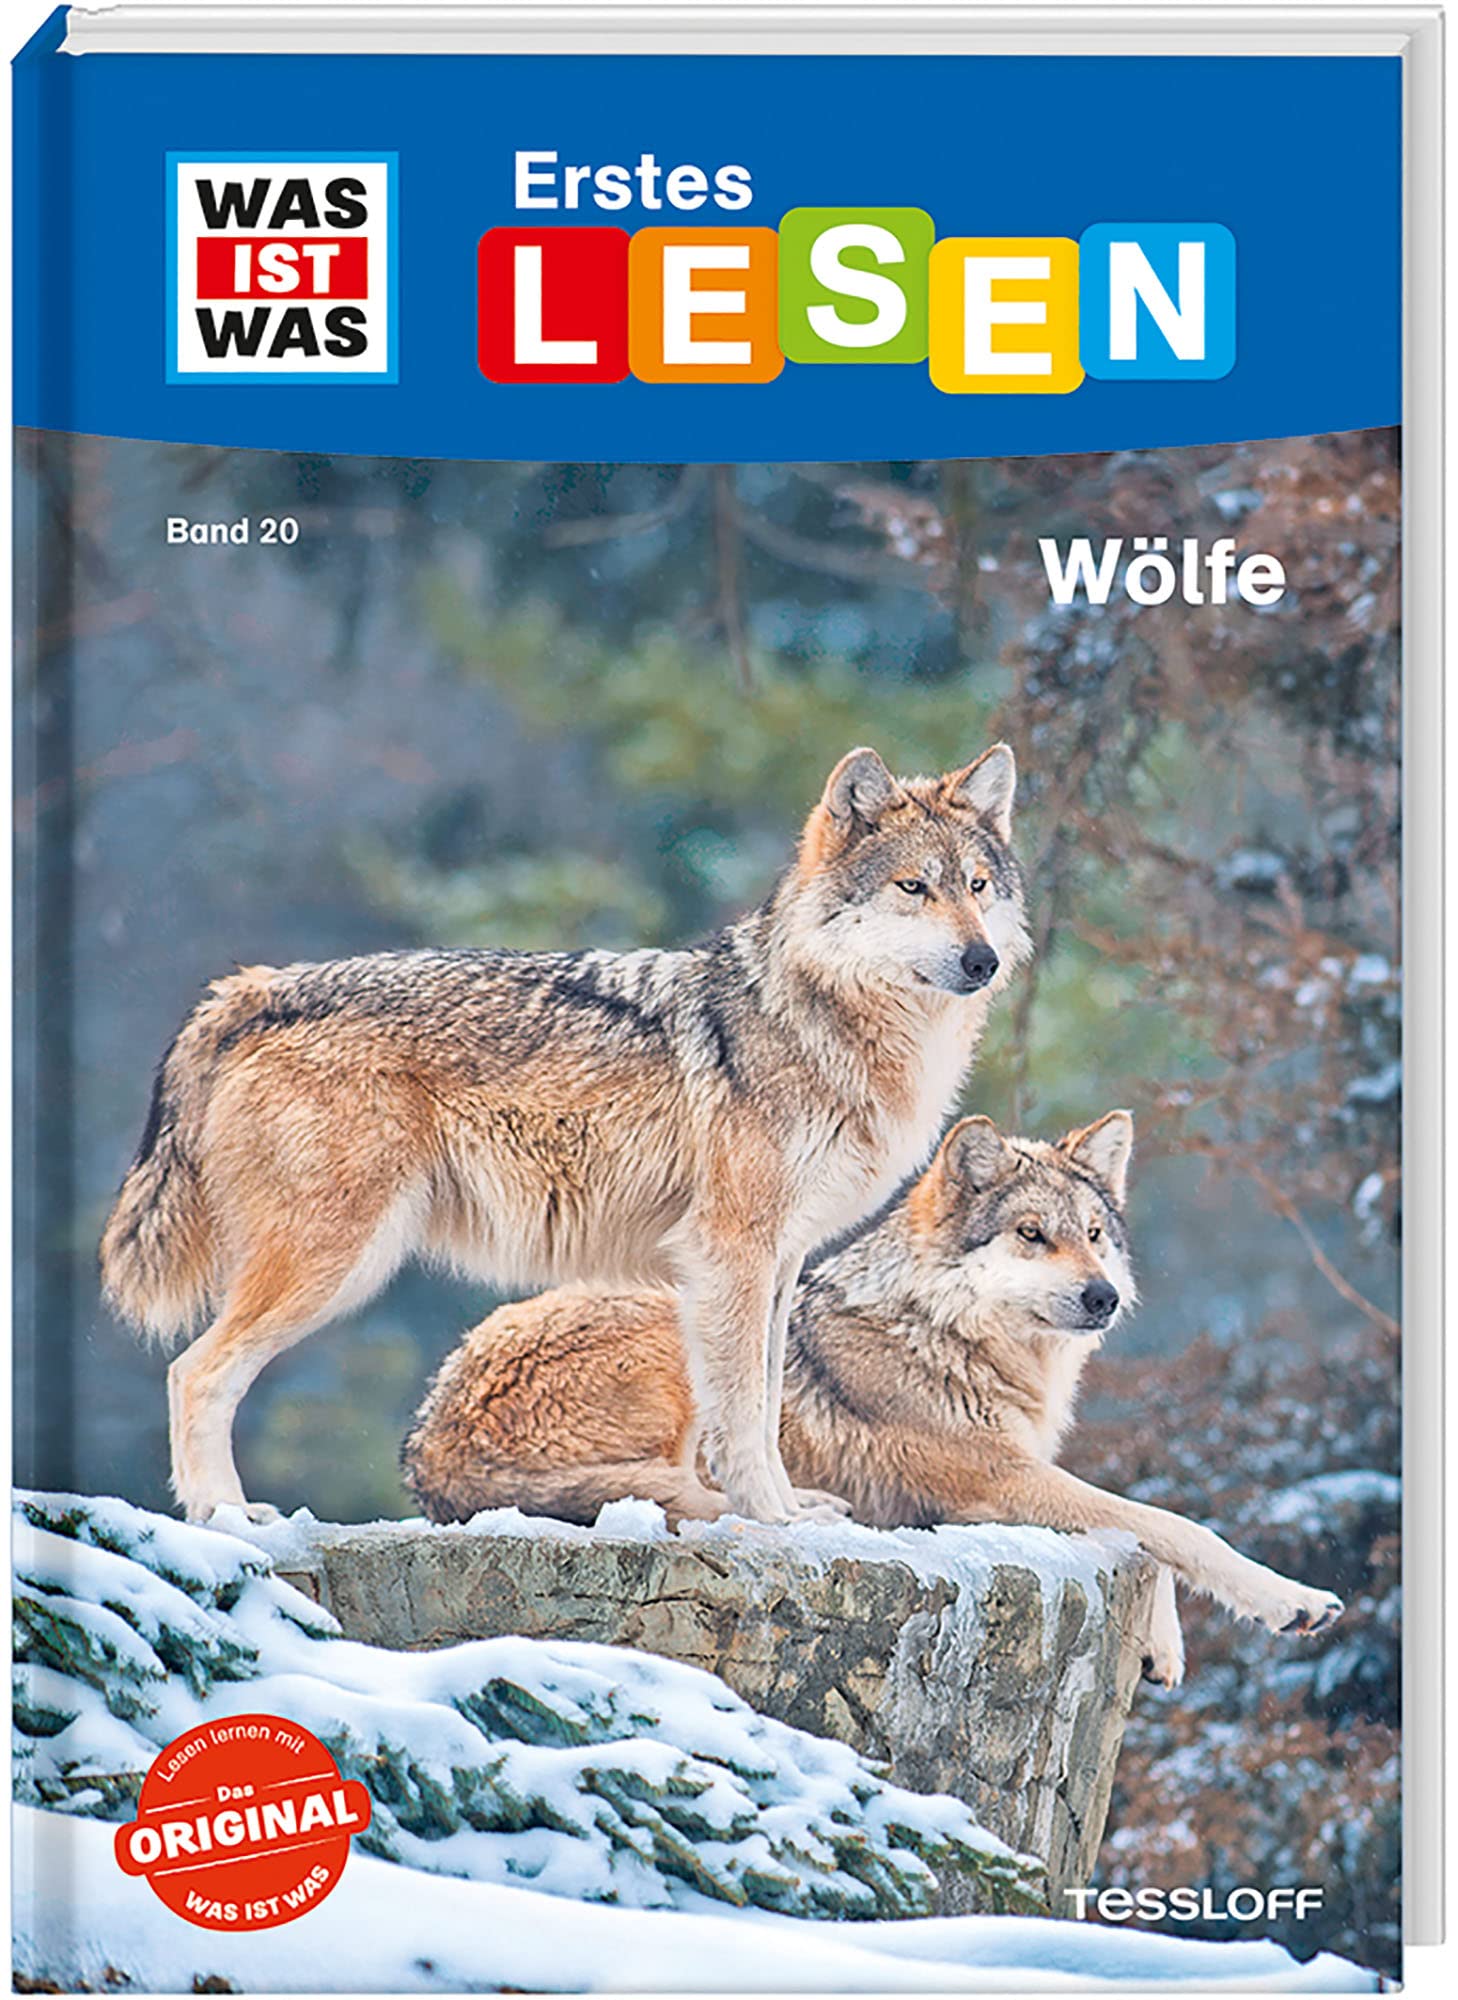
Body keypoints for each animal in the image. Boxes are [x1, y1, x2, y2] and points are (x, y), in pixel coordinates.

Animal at [101, 743, 1028, 1527]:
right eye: (913, 888)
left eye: (978, 885)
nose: (981, 960)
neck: (828, 1025)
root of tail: (258, 987)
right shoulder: (731, 1251)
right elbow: (739, 1416)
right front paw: (772, 1518)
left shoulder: (779, 1260)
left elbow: (766, 1406)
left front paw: (791, 1509)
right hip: (336, 1262)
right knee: (194, 1371)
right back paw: (225, 1515)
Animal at [402, 1110, 1343, 1685]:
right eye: (1031, 1235)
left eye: (1094, 1235)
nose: (1103, 1297)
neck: (950, 1337)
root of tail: (428, 1445)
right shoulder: (996, 1482)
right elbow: (1168, 1527)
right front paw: (1292, 1600)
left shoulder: (1020, 1477)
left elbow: (1143, 1532)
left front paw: (1161, 1648)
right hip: (683, 1330)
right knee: (701, 1495)